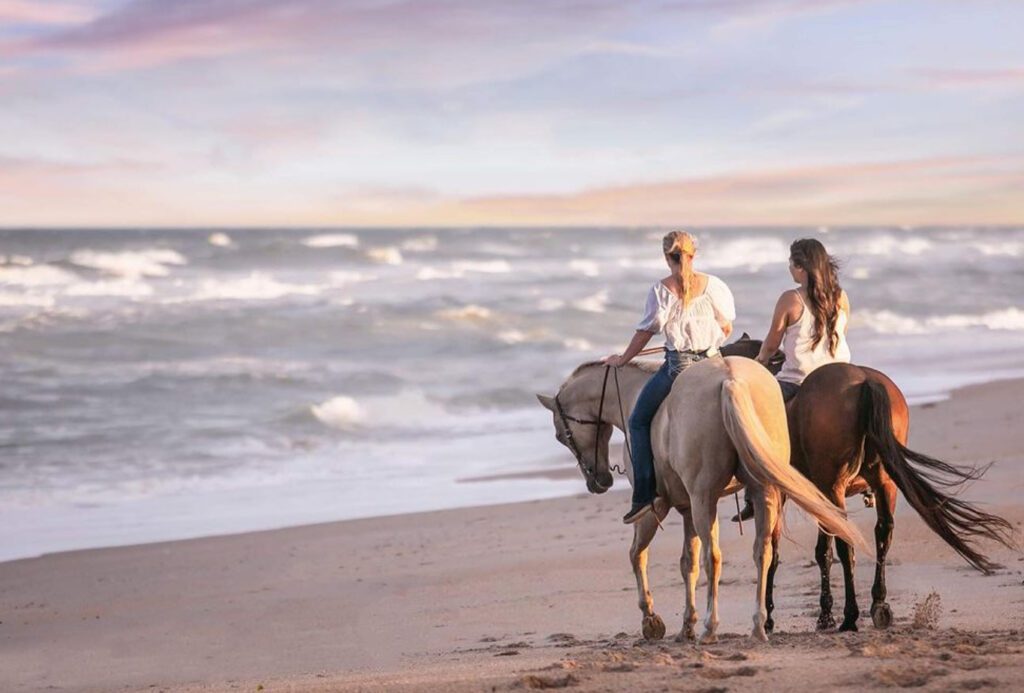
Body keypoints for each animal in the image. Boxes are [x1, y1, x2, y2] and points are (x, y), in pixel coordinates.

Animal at [536, 354, 864, 638]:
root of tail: (730, 380)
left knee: (714, 557)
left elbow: (638, 555)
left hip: (704, 498)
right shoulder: (686, 509)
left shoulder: (657, 507)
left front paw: (652, 619)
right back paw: (758, 626)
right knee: (763, 551)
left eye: (561, 436)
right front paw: (686, 624)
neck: (630, 395)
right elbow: (687, 564)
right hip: (762, 493)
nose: (598, 482)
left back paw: (711, 627)